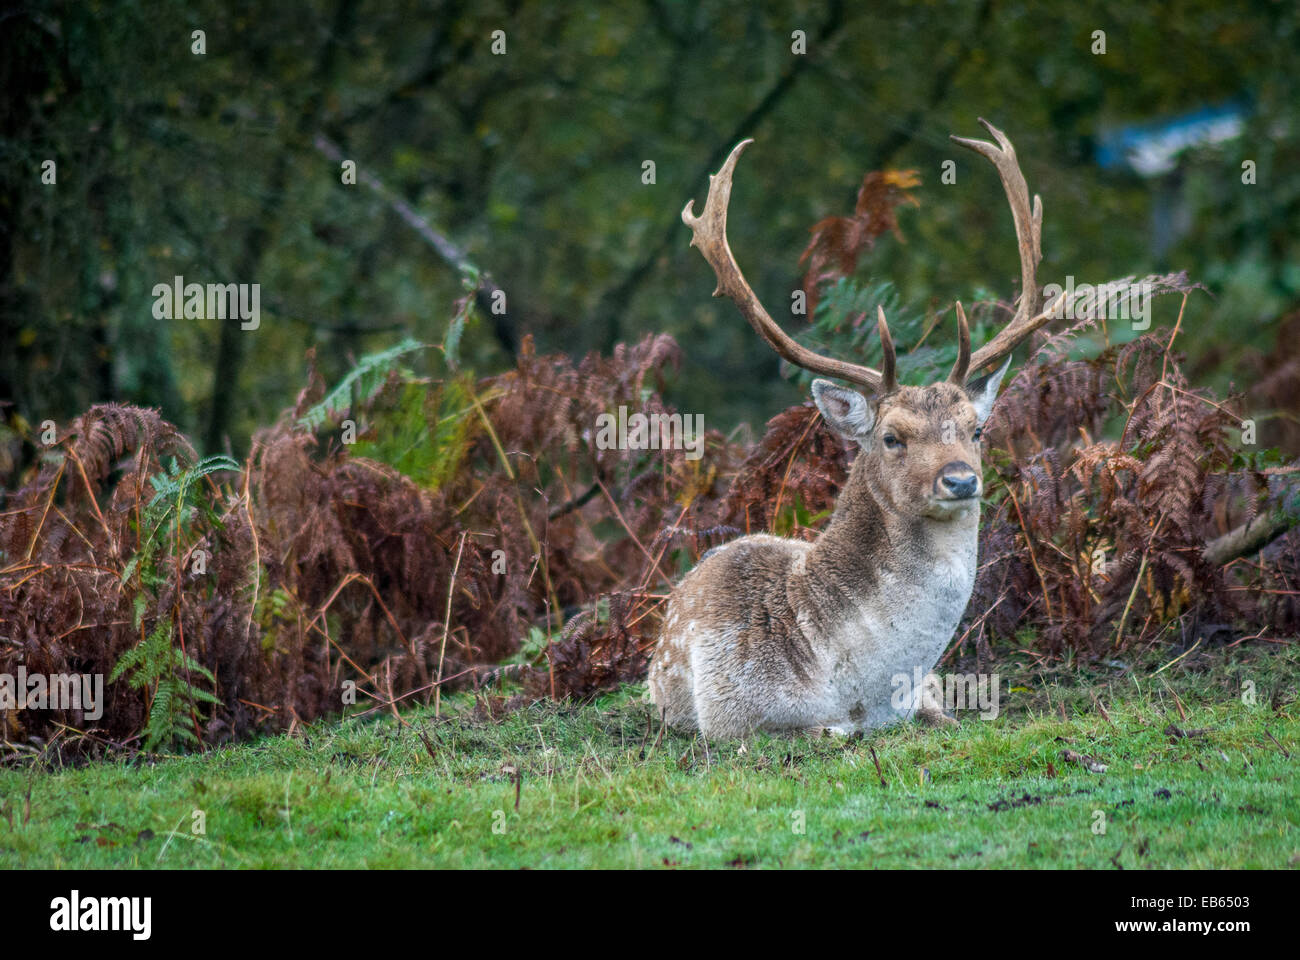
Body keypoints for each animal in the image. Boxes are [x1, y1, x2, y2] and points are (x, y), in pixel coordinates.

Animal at [647, 115, 1066, 738]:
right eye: (892, 437)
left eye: (975, 430)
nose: (961, 480)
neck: (860, 691)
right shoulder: (732, 715)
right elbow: (819, 733)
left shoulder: (927, 691)